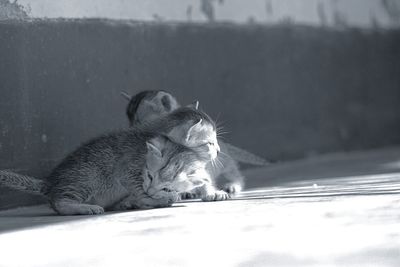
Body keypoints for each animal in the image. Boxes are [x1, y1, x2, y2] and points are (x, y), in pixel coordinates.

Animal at [0, 107, 219, 216]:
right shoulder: (129, 169)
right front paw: (154, 200)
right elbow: (140, 190)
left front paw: (212, 191)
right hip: (86, 179)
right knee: (59, 202)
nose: (218, 150)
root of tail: (51, 182)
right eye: (210, 142)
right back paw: (85, 208)